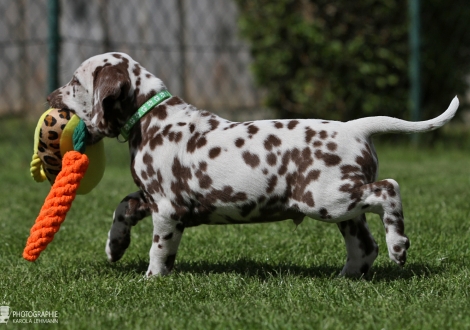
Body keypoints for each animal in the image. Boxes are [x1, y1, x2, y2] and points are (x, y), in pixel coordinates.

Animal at [47, 52, 458, 278]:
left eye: (75, 81)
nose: (49, 95)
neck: (151, 117)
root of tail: (355, 127)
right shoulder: (148, 196)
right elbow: (121, 207)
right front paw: (115, 247)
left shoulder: (167, 208)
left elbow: (160, 249)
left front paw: (152, 278)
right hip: (343, 206)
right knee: (364, 246)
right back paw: (346, 276)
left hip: (327, 198)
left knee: (389, 190)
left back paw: (398, 246)